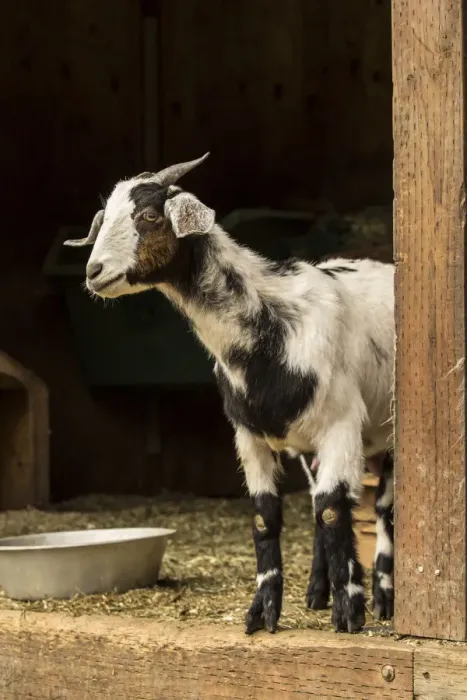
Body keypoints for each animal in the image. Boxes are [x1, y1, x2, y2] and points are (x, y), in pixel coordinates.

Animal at [64, 153, 395, 634]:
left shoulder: (340, 425)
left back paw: (383, 597)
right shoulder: (250, 436)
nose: (94, 273)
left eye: (149, 216)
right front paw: (263, 612)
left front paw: (350, 612)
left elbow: (334, 511)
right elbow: (265, 517)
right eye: (104, 218)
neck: (267, 327)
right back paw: (319, 591)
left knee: (381, 508)